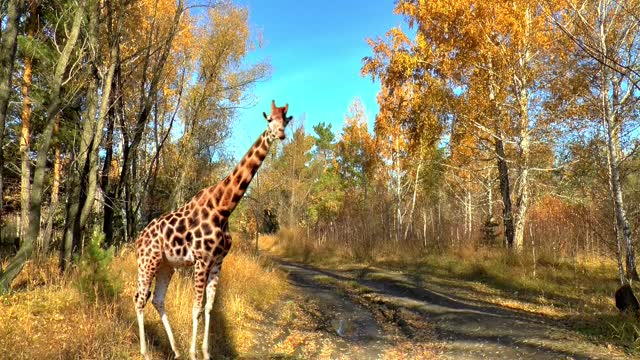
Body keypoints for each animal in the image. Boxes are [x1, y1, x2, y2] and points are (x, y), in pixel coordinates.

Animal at [136, 100, 296, 358]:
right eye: (269, 120)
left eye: (286, 121)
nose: (280, 134)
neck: (223, 208)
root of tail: (138, 239)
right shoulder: (201, 260)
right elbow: (196, 309)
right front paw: (194, 354)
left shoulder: (218, 261)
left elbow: (209, 307)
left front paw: (205, 352)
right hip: (147, 261)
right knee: (139, 298)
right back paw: (145, 352)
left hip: (166, 265)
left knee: (157, 300)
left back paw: (175, 350)